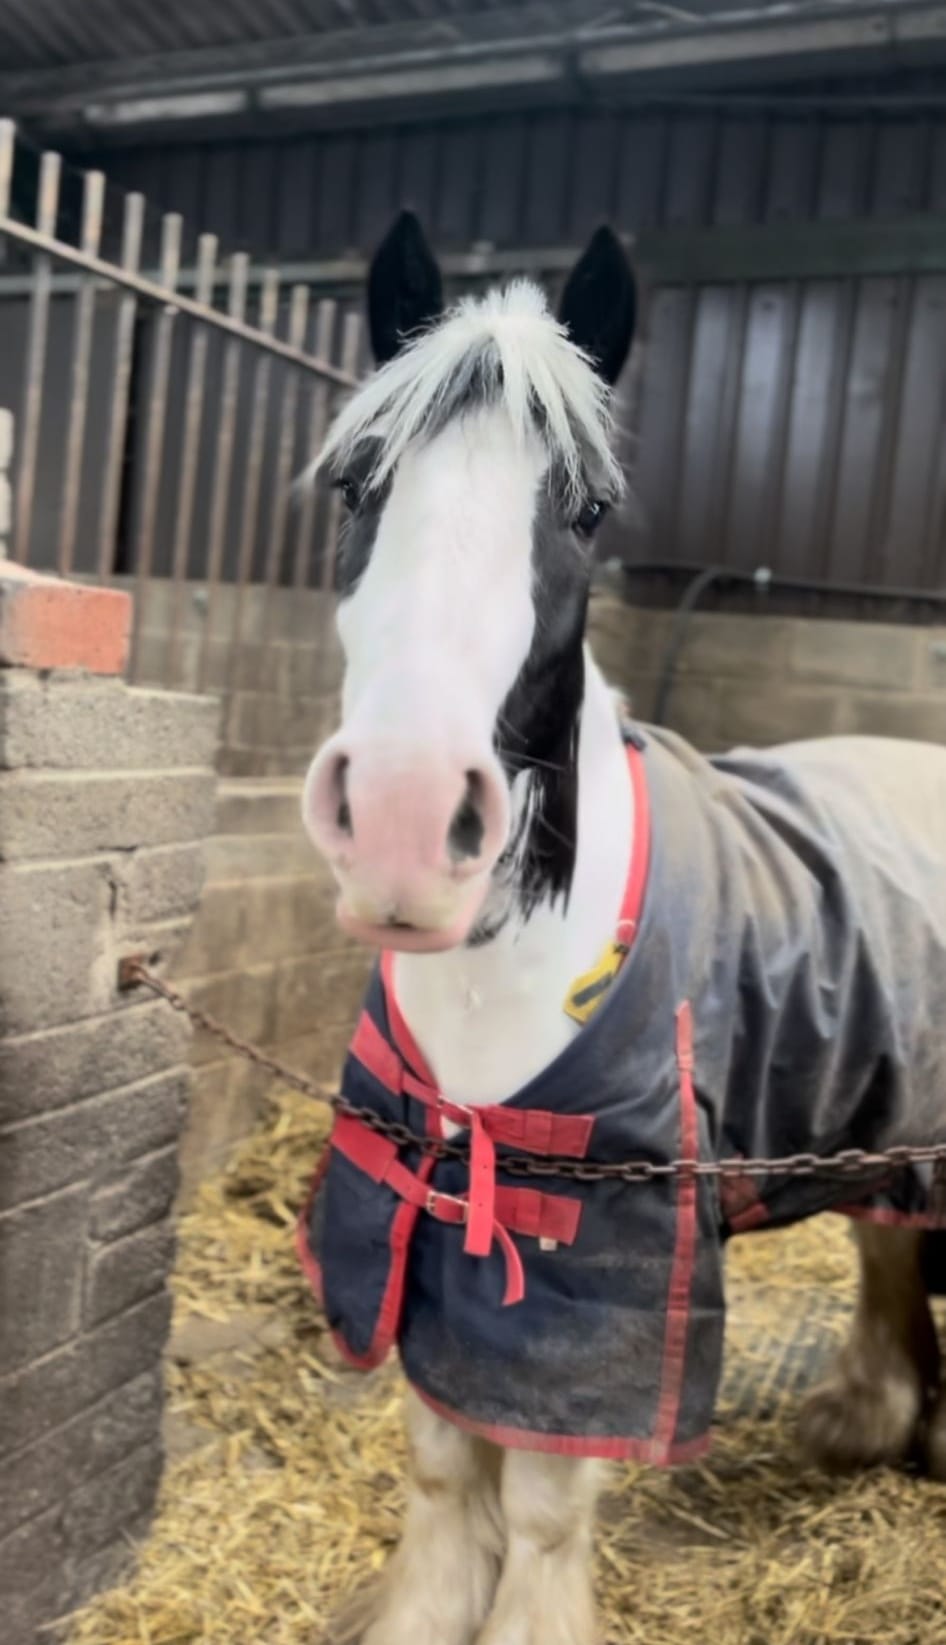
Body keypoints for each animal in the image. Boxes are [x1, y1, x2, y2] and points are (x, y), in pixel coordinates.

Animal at [299, 211, 946, 1645]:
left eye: (584, 512)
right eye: (357, 487)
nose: (405, 821)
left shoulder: (609, 1274)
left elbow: (542, 1501)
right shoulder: (423, 1218)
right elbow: (442, 1460)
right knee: (885, 1244)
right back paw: (866, 1419)